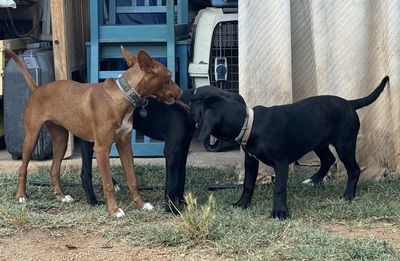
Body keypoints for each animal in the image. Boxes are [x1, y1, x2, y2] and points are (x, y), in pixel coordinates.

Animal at [3, 46, 182, 215]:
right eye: (169, 76)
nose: (180, 92)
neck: (122, 96)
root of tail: (37, 89)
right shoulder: (101, 148)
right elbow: (108, 183)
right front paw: (114, 210)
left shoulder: (124, 144)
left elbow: (132, 179)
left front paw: (141, 205)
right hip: (31, 137)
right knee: (22, 168)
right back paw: (21, 196)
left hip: (61, 140)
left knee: (53, 169)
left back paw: (61, 196)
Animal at [80, 85, 245, 211]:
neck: (187, 108)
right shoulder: (172, 152)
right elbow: (171, 182)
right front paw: (171, 209)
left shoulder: (182, 150)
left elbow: (181, 178)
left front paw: (182, 202)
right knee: (85, 173)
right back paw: (93, 201)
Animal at [189, 76, 390, 218]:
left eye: (199, 105)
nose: (190, 100)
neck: (249, 123)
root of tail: (349, 103)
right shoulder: (251, 161)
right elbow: (247, 184)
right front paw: (242, 203)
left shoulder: (281, 163)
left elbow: (279, 188)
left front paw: (279, 212)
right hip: (318, 141)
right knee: (328, 159)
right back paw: (314, 180)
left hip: (345, 144)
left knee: (354, 169)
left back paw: (348, 195)